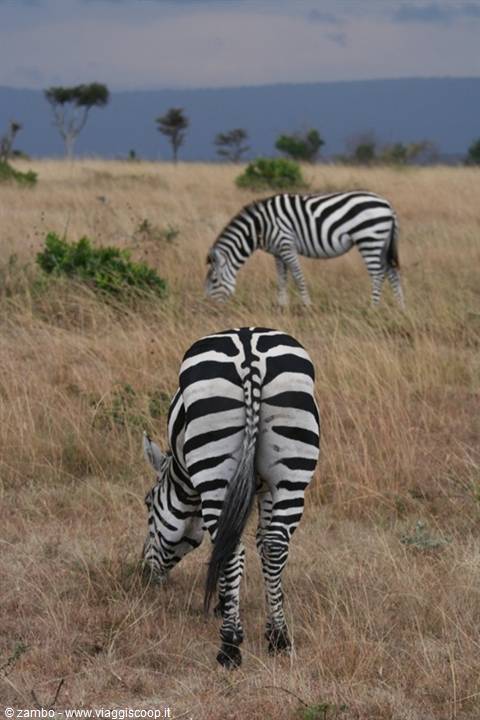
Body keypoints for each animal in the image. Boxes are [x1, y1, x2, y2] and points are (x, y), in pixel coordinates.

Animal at [142, 327, 320, 669]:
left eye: (147, 504)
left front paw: (224, 608)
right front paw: (269, 622)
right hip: (291, 471)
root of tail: (249, 351)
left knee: (231, 549)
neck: (181, 472)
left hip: (216, 473)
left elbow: (225, 546)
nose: (143, 574)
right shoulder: (263, 489)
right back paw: (280, 639)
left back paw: (229, 647)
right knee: (276, 545)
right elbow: (264, 544)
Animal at [205, 191, 405, 308]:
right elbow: (281, 279)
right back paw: (400, 307)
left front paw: (307, 305)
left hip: (369, 239)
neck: (260, 227)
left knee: (378, 274)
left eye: (214, 280)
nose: (211, 308)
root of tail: (388, 205)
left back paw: (373, 307)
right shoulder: (278, 252)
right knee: (392, 272)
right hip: (381, 243)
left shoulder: (286, 245)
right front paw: (281, 306)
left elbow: (297, 277)